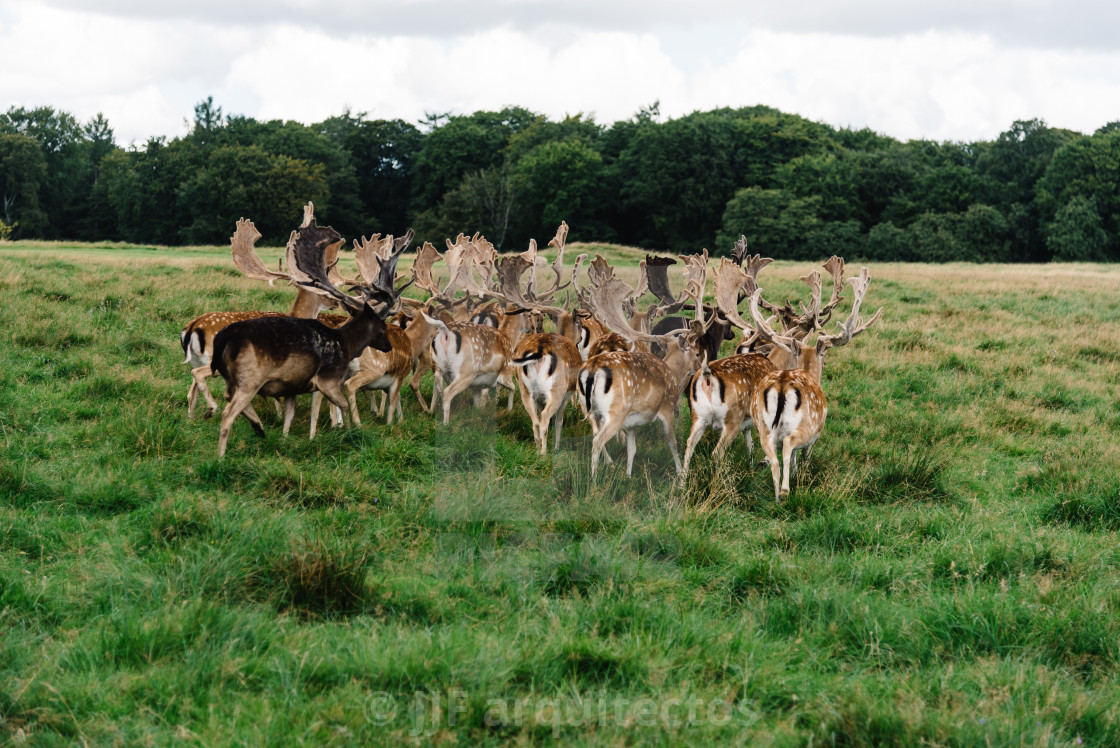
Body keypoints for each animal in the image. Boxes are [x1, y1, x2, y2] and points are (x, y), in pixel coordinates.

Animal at [210, 219, 412, 459]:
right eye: (382, 327)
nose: (389, 346)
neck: (346, 343)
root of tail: (224, 337)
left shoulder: (293, 386)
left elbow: (291, 416)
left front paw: (288, 439)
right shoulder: (330, 380)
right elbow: (343, 405)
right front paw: (349, 430)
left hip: (231, 378)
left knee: (228, 398)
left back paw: (258, 427)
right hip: (250, 378)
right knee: (228, 412)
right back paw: (221, 456)